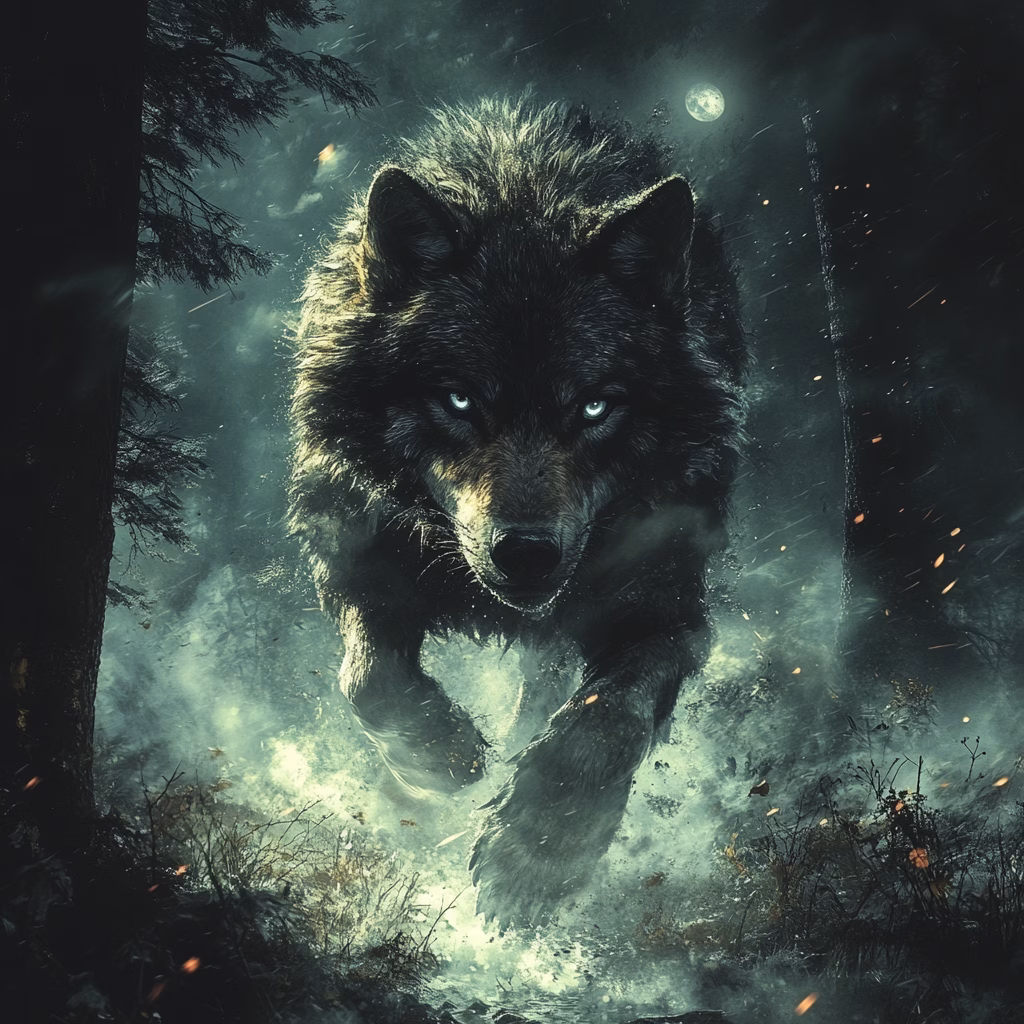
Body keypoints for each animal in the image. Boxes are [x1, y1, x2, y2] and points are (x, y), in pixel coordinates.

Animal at [290, 96, 746, 928]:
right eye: (459, 399)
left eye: (595, 406)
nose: (527, 553)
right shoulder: (357, 559)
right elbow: (369, 681)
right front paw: (443, 760)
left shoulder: (667, 607)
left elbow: (609, 718)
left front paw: (538, 852)